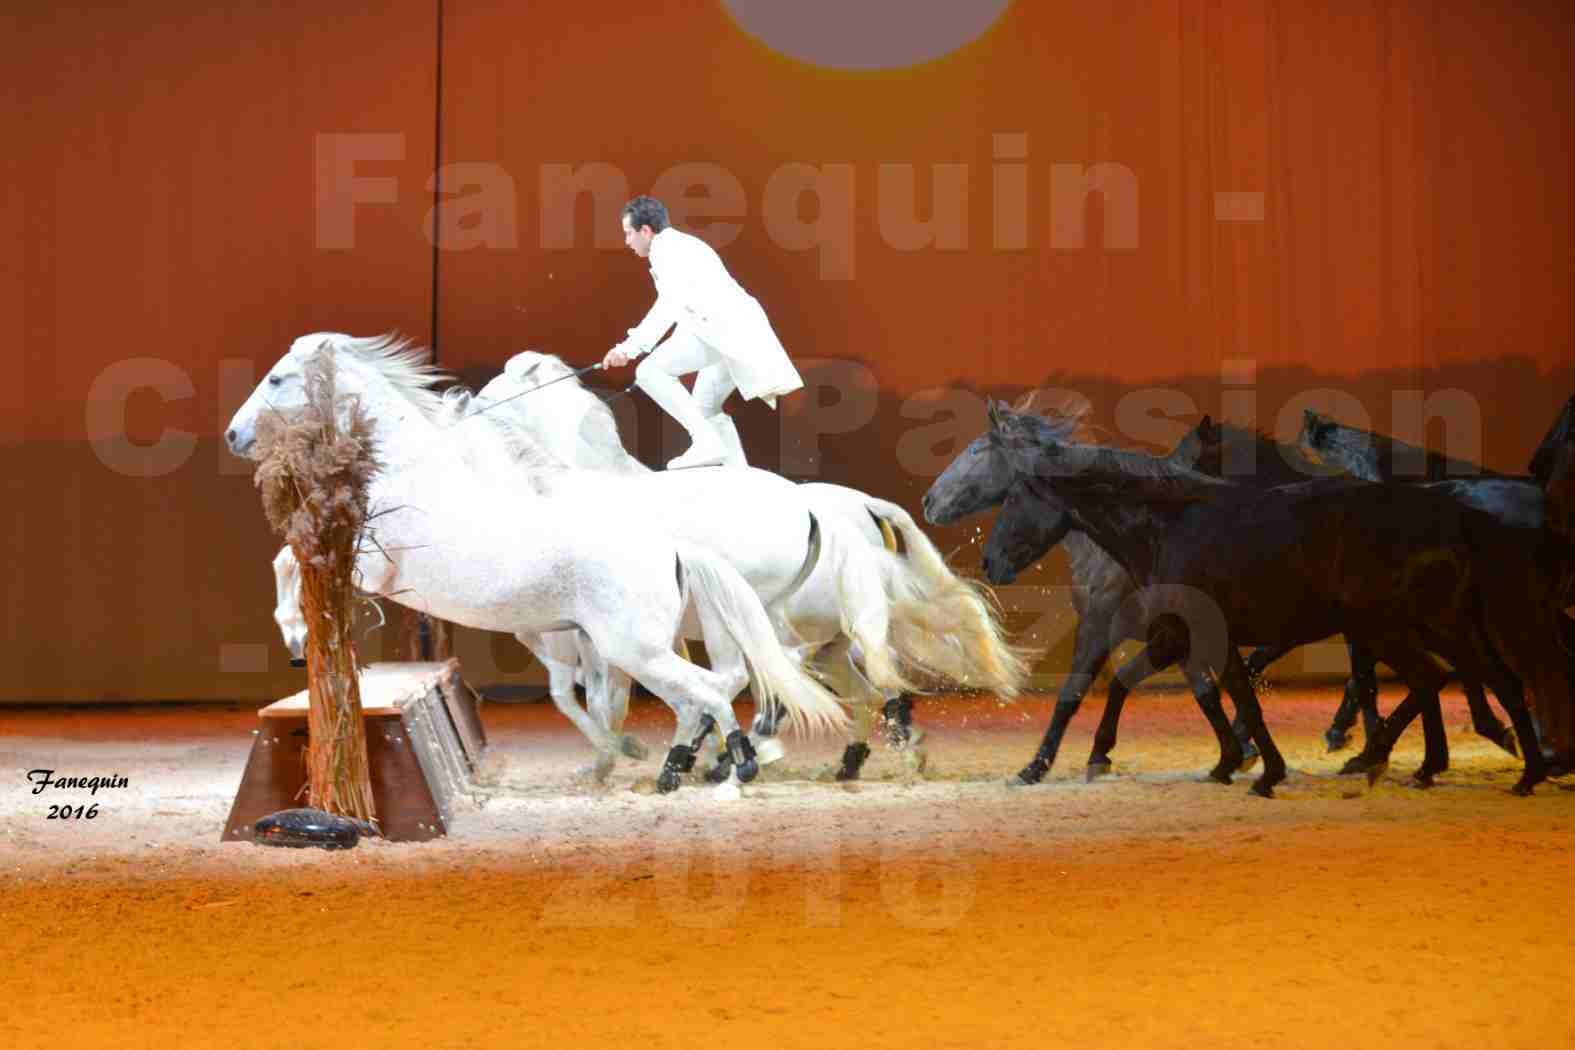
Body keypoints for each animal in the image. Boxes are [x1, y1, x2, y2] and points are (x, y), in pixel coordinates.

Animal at [228, 335, 856, 787]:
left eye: (278, 378)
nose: (234, 434)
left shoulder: (373, 571)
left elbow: (289, 560)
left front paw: (293, 632)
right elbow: (579, 696)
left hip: (645, 645)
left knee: (717, 686)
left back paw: (729, 760)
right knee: (730, 682)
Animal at [919, 402, 1562, 796]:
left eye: (979, 455)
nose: (991, 562)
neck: (1160, 528)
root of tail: (1450, 508)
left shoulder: (1122, 627)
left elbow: (1084, 692)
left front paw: (1040, 765)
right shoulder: (1184, 636)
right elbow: (1210, 690)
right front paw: (1239, 759)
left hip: (1410, 624)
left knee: (1459, 677)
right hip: (1418, 624)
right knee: (1456, 678)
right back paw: (1431, 758)